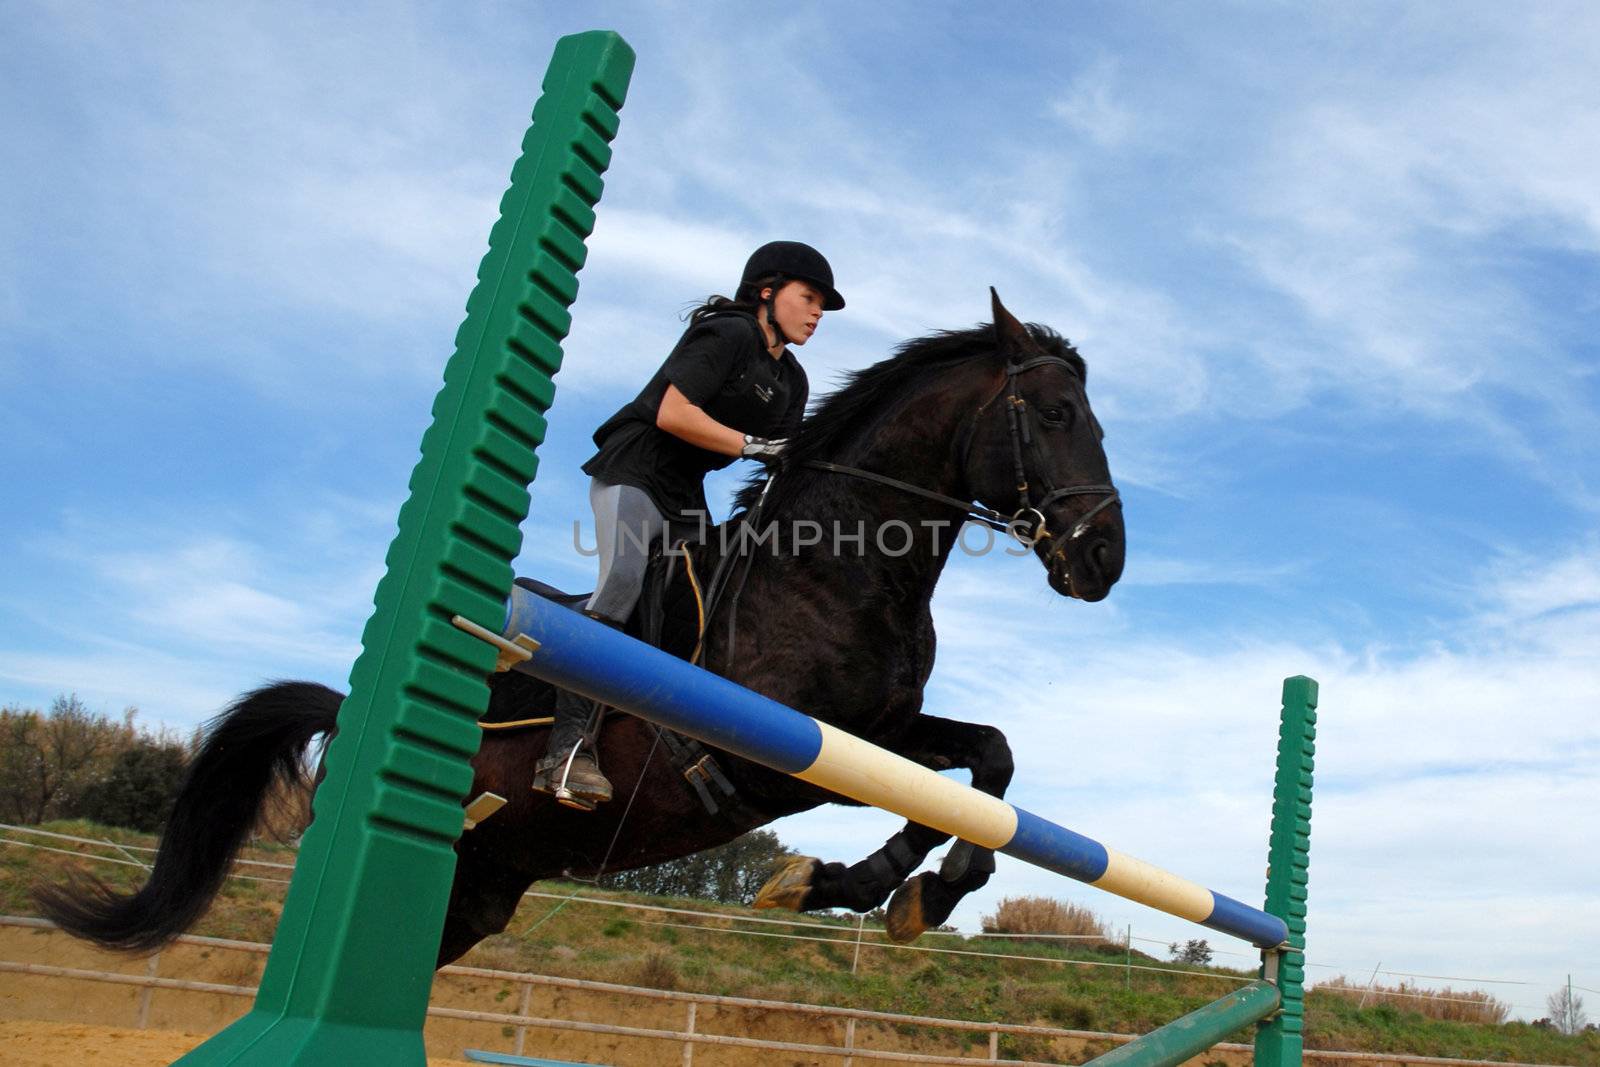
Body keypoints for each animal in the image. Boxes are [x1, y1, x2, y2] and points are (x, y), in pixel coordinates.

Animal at [37, 289, 1126, 966]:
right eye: (1056, 413)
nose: (1105, 559)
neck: (835, 570)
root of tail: (354, 707)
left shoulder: (883, 734)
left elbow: (988, 767)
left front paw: (906, 895)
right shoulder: (783, 759)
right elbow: (948, 800)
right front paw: (829, 881)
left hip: (479, 892)